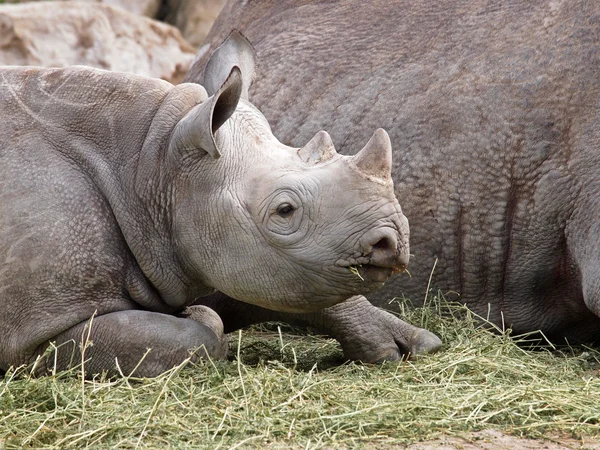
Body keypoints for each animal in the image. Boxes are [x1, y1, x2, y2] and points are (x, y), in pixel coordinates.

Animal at [0, 37, 440, 378]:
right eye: (284, 211)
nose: (393, 242)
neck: (153, 165)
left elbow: (268, 287)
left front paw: (410, 343)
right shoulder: (36, 327)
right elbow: (196, 333)